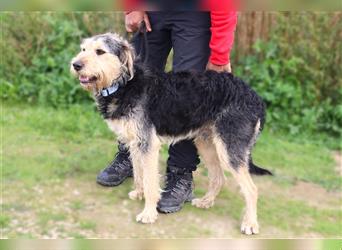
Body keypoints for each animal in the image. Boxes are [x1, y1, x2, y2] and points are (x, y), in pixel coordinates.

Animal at [71, 32, 272, 234]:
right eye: (83, 49)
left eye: (100, 51)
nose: (75, 65)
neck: (124, 82)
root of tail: (255, 97)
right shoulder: (135, 143)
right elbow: (138, 173)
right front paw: (139, 193)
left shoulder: (148, 144)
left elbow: (150, 182)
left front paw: (148, 213)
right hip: (206, 144)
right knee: (219, 178)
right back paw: (206, 202)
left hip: (229, 149)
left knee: (251, 189)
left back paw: (250, 223)